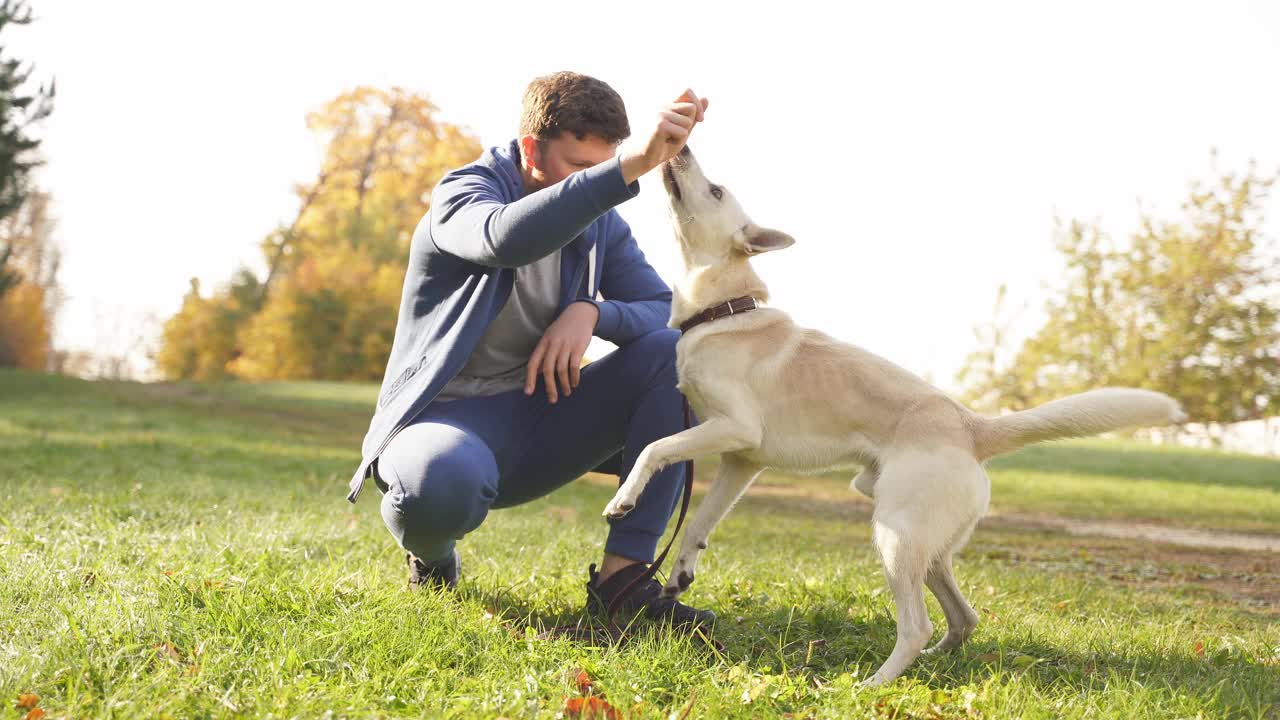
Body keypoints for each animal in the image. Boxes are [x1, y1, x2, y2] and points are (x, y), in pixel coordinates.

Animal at [604, 141, 1182, 681]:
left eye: (716, 189)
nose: (681, 147)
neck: (723, 310)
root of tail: (971, 427)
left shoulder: (732, 429)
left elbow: (655, 448)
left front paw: (624, 499)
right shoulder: (742, 461)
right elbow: (699, 522)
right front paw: (680, 573)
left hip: (894, 535)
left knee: (917, 624)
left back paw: (873, 683)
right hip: (919, 540)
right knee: (964, 617)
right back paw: (933, 660)